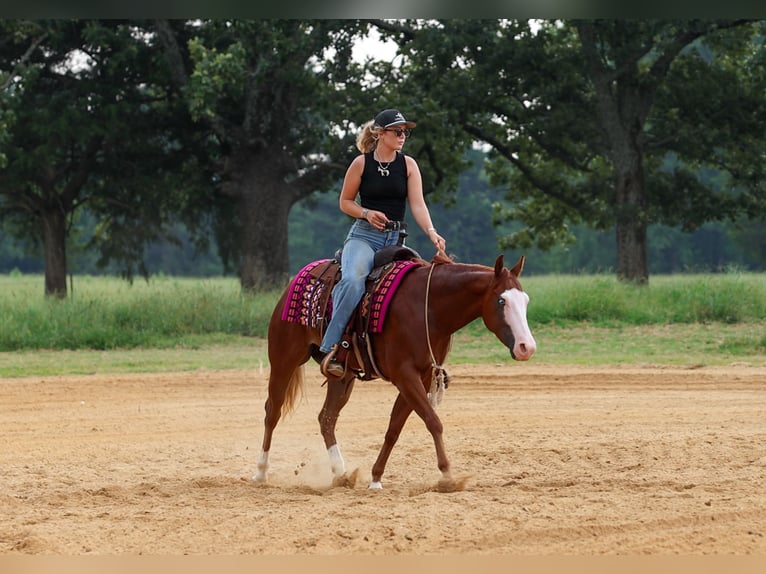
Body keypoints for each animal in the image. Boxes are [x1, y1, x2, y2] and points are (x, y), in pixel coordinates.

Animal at [252, 251, 536, 490]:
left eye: (525, 300)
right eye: (501, 300)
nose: (527, 347)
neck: (429, 308)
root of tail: (298, 277)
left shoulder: (421, 377)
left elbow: (394, 430)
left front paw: (376, 478)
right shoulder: (405, 375)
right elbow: (433, 421)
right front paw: (448, 476)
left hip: (343, 376)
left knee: (327, 418)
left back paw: (341, 474)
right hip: (284, 359)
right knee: (272, 411)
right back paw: (261, 472)